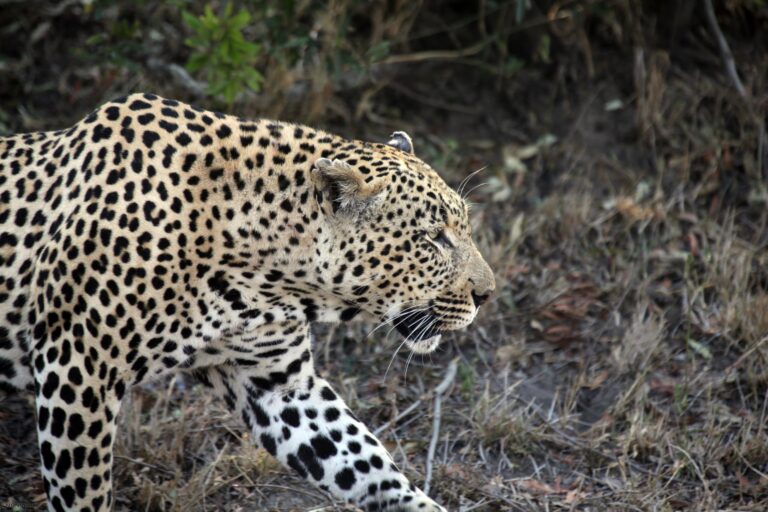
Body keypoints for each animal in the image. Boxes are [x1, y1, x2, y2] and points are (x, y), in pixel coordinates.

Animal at [0, 93, 495, 512]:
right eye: (433, 238)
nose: (487, 294)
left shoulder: (279, 385)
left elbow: (366, 462)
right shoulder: (78, 369)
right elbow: (83, 491)